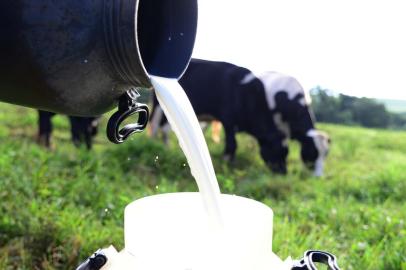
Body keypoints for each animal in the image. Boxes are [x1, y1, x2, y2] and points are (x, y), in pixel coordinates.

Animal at [151, 59, 328, 175]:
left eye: (286, 153)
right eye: (313, 153)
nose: (283, 173)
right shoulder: (228, 121)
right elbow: (232, 145)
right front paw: (227, 162)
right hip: (160, 105)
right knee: (157, 126)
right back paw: (157, 145)